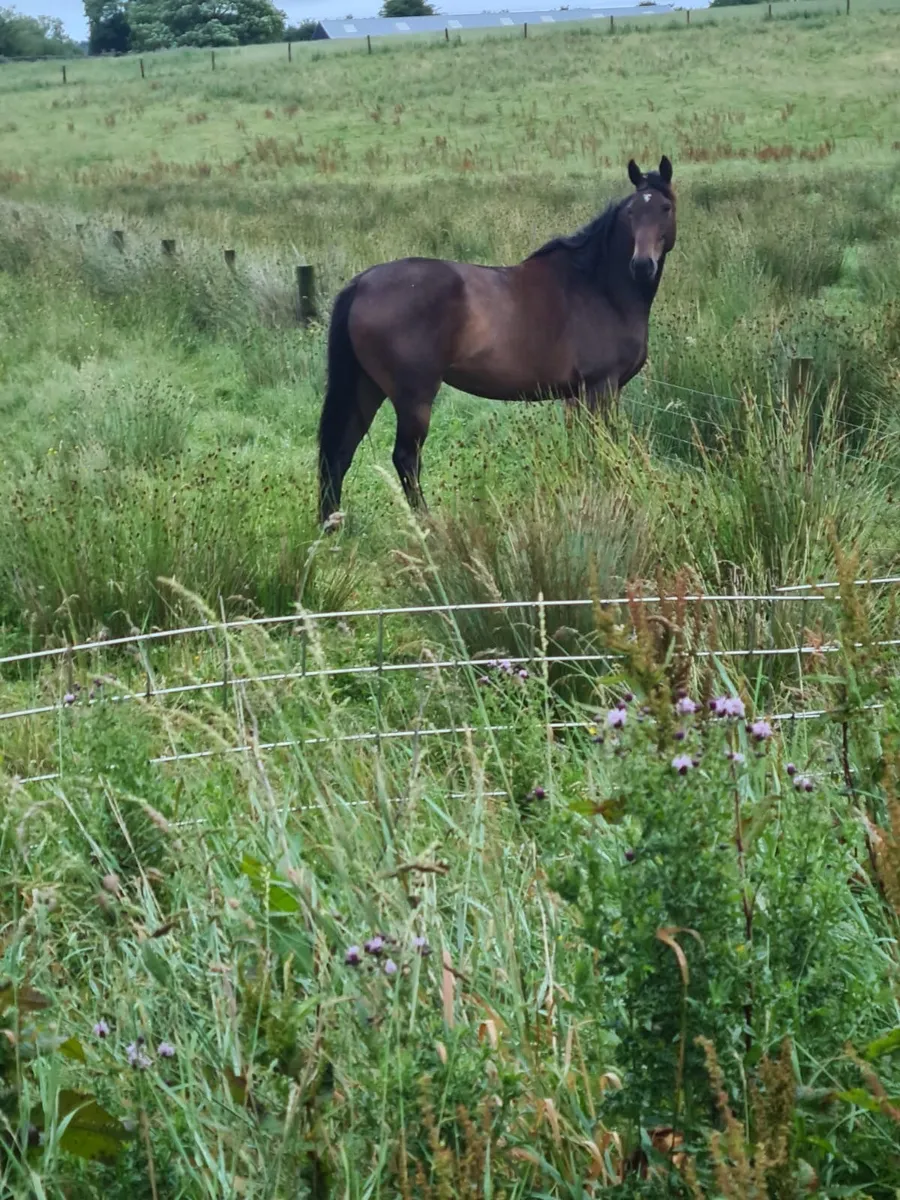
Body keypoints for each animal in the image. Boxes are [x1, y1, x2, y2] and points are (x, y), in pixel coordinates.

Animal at [317, 155, 676, 524]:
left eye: (665, 207)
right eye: (632, 211)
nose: (642, 265)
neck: (597, 286)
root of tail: (361, 283)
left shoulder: (580, 394)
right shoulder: (600, 387)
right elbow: (600, 446)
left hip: (366, 386)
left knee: (340, 452)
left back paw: (332, 524)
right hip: (412, 397)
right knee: (405, 457)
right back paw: (427, 523)